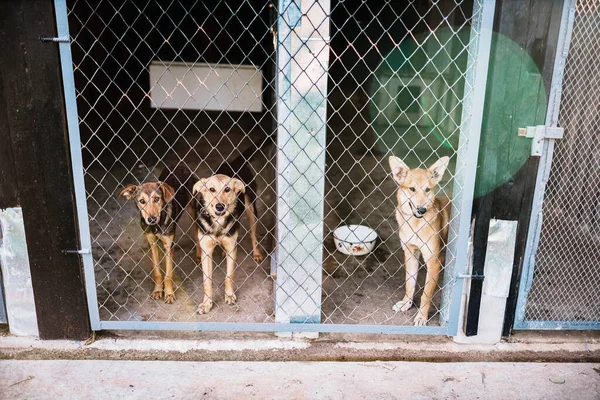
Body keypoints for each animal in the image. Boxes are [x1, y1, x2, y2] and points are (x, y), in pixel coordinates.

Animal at [119, 165, 197, 304]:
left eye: (157, 199)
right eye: (142, 201)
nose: (151, 219)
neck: (156, 226)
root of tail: (180, 165)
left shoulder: (168, 246)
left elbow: (168, 274)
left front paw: (169, 294)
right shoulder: (152, 244)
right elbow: (157, 271)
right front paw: (157, 290)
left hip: (193, 209)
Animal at [192, 173, 248, 314]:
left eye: (227, 189)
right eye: (212, 189)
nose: (219, 206)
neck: (218, 221)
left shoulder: (232, 248)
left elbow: (229, 276)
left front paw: (229, 295)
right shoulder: (206, 251)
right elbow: (207, 281)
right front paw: (207, 304)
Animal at [390, 155, 450, 326]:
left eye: (427, 190)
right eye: (412, 189)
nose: (421, 209)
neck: (416, 224)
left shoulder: (434, 261)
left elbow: (426, 294)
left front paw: (422, 316)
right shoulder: (410, 252)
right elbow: (409, 283)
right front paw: (406, 303)